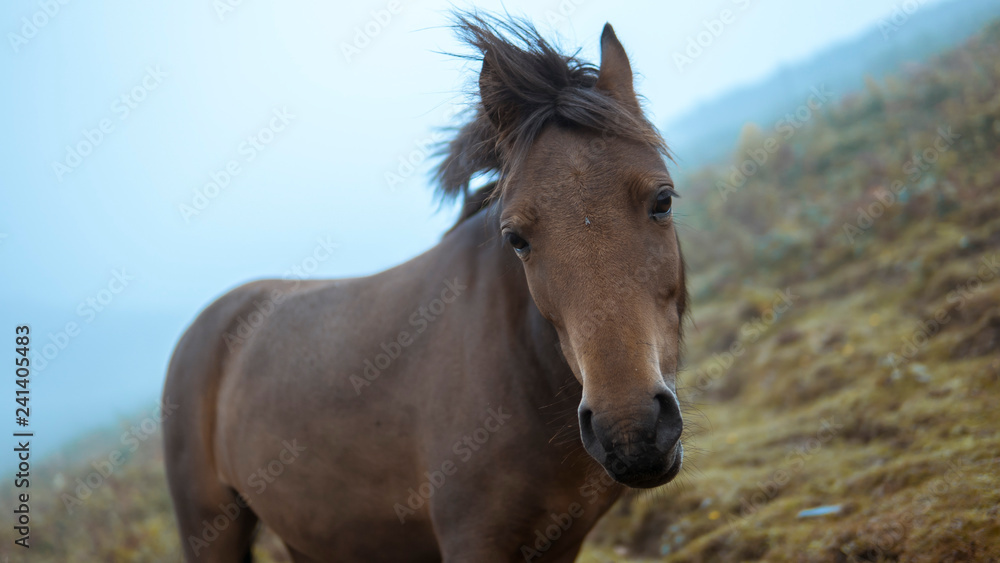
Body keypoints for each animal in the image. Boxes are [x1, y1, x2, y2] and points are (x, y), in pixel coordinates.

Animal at [163, 13, 688, 562]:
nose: (631, 431)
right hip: (211, 530)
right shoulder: (472, 541)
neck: (520, 372)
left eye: (663, 200)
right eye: (516, 238)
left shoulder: (563, 542)